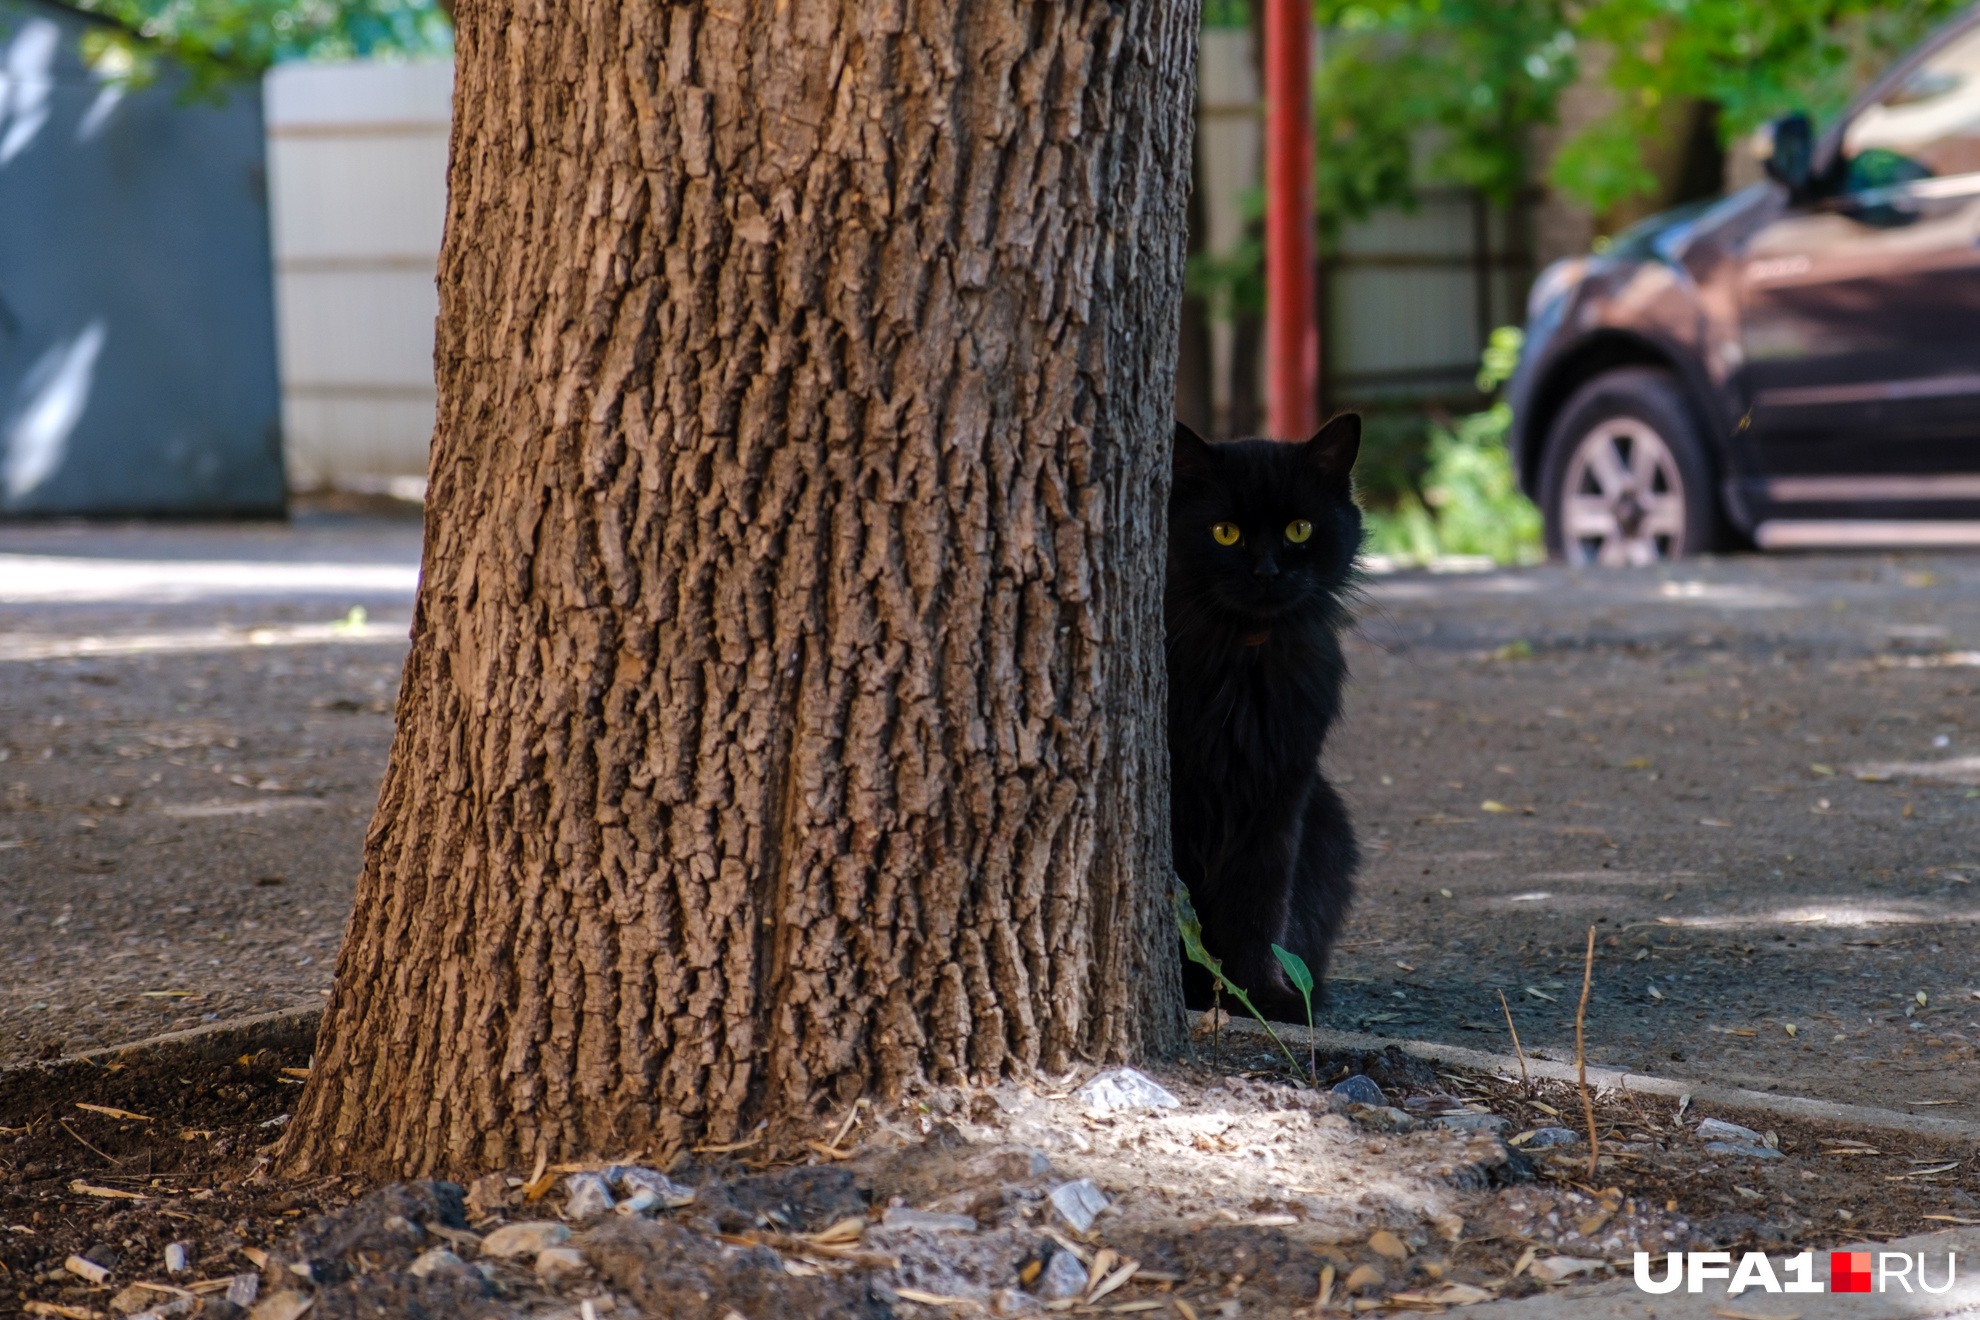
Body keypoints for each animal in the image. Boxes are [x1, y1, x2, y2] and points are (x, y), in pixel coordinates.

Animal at [1156, 417, 1362, 1021]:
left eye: (1299, 528)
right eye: (1225, 532)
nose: (1267, 572)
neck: (1243, 664)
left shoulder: (1278, 802)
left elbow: (1259, 909)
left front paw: (1262, 996)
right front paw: (1196, 992)